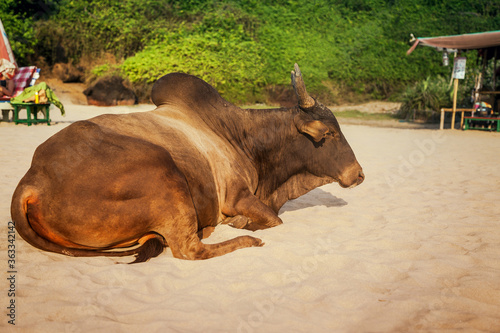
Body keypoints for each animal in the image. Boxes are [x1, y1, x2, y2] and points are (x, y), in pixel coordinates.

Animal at [10, 64, 364, 262]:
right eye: (330, 133)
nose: (358, 174)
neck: (241, 136)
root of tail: (33, 179)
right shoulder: (237, 197)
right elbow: (273, 221)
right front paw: (244, 227)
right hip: (164, 170)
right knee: (188, 250)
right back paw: (245, 240)